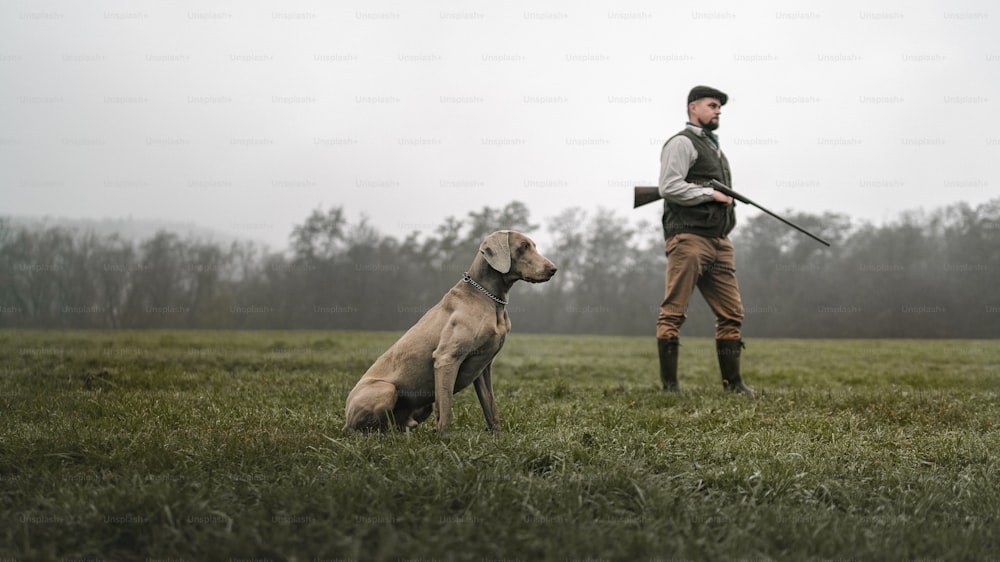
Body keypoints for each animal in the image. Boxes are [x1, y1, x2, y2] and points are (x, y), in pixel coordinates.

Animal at [346, 228, 560, 434]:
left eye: (533, 245)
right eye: (523, 247)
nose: (553, 269)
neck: (488, 298)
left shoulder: (483, 366)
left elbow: (491, 409)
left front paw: (498, 439)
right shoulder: (446, 359)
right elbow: (446, 409)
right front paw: (443, 441)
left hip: (422, 407)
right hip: (386, 389)